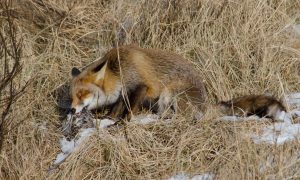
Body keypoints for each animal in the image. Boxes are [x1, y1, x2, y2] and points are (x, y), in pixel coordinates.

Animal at [69, 45, 207, 119]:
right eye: (72, 97)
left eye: (82, 93)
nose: (71, 110)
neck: (119, 71)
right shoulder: (123, 93)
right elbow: (116, 109)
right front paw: (109, 119)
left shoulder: (141, 86)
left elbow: (131, 109)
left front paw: (125, 122)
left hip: (167, 93)